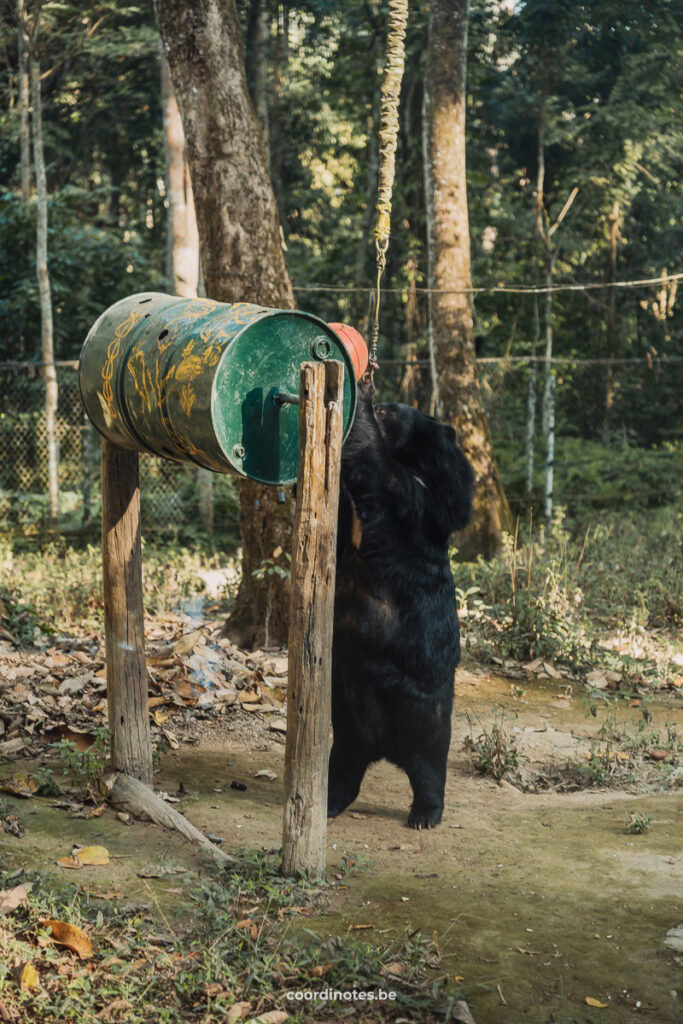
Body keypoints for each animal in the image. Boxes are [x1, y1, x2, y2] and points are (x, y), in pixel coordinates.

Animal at [327, 380, 473, 827]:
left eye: (392, 412)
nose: (382, 403)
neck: (415, 458)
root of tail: (384, 746)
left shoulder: (418, 498)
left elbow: (378, 469)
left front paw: (360, 395)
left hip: (425, 712)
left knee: (430, 765)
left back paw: (425, 813)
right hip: (347, 716)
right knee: (343, 765)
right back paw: (329, 801)